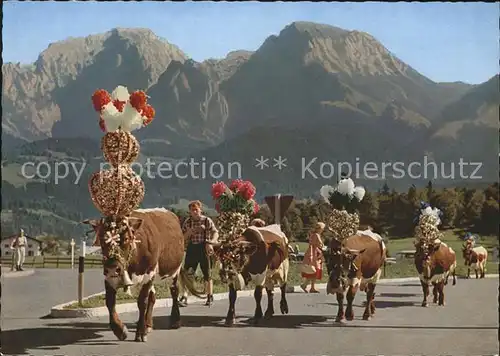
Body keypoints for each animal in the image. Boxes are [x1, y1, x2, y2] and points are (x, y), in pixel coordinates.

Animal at [84, 209, 205, 342]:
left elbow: (142, 302)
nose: (112, 268)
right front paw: (119, 330)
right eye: (102, 238)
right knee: (153, 297)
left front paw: (141, 332)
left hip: (174, 271)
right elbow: (110, 302)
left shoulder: (149, 274)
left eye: (126, 238)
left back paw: (175, 320)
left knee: (174, 291)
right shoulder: (110, 277)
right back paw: (148, 324)